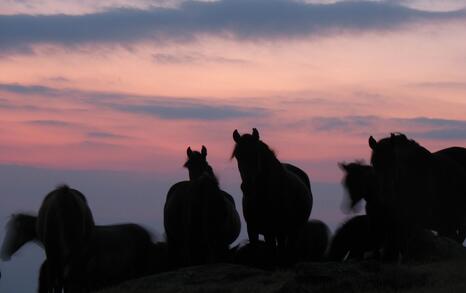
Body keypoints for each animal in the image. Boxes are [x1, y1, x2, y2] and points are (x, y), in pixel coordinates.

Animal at [230, 127, 312, 260]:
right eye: (237, 155)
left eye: (256, 153)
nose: (247, 187)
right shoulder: (253, 230)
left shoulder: (276, 230)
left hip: (293, 231)